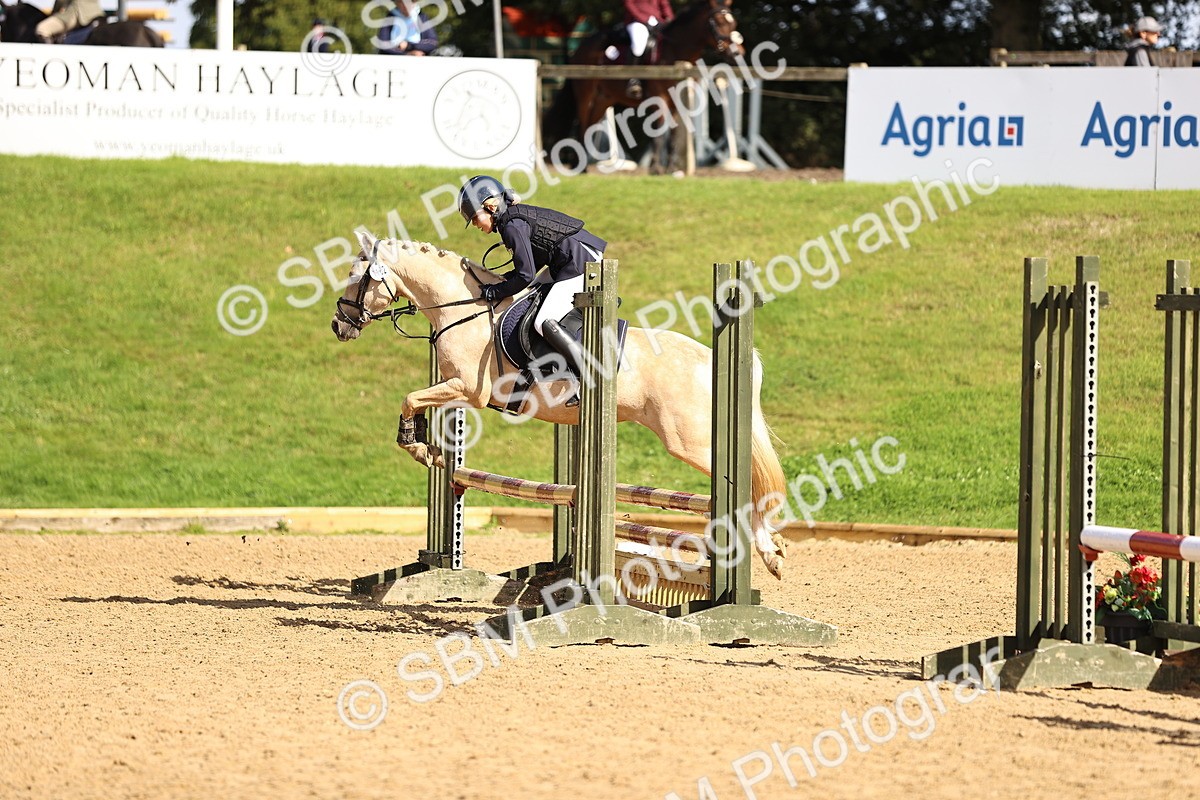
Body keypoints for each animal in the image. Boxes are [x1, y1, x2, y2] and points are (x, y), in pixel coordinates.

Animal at [329, 230, 790, 579]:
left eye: (355, 277)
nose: (339, 325)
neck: (464, 309)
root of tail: (713, 356)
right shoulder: (452, 386)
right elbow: (418, 402)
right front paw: (431, 449)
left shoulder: (470, 390)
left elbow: (410, 398)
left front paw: (418, 445)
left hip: (688, 440)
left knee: (746, 483)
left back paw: (769, 551)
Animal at [542, 0, 744, 167]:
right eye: (719, 22)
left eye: (733, 23)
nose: (737, 53)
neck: (674, 51)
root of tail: (581, 48)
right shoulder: (659, 99)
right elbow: (659, 134)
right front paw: (656, 169)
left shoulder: (676, 102)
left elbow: (673, 135)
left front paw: (672, 169)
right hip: (586, 96)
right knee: (582, 126)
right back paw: (581, 167)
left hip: (603, 99)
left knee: (589, 127)